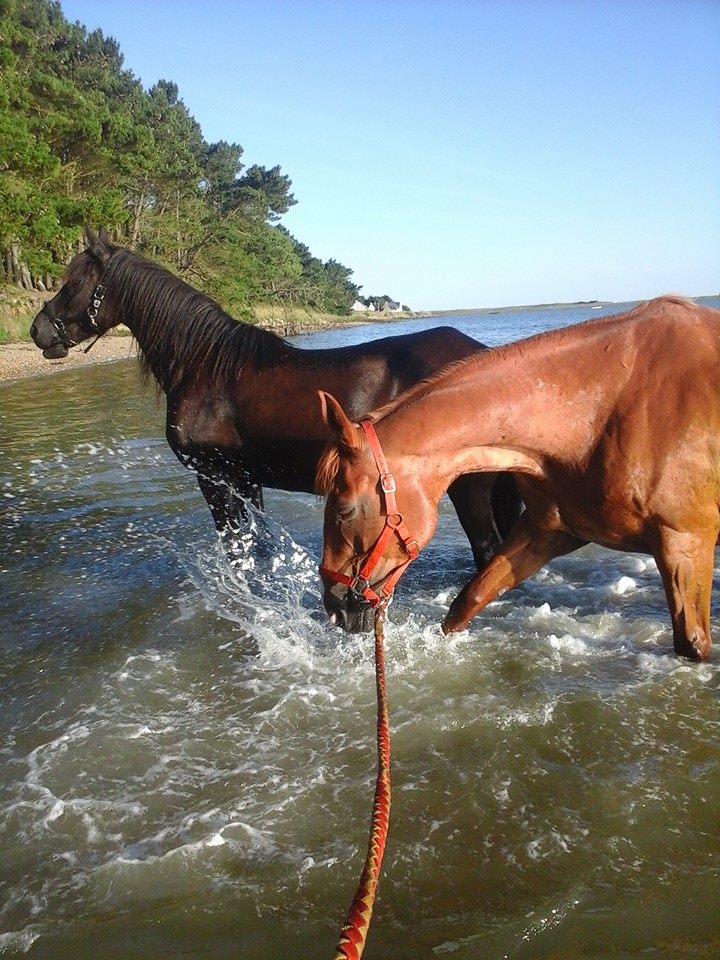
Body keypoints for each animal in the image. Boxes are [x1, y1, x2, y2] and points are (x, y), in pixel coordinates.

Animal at [29, 230, 524, 580]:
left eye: (74, 282)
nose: (38, 330)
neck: (205, 366)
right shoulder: (246, 479)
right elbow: (258, 547)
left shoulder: (216, 477)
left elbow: (237, 551)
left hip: (470, 489)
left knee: (486, 554)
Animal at [318, 296, 720, 660]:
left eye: (344, 510)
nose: (334, 608)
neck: (595, 415)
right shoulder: (548, 532)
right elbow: (467, 602)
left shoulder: (685, 543)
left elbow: (692, 645)